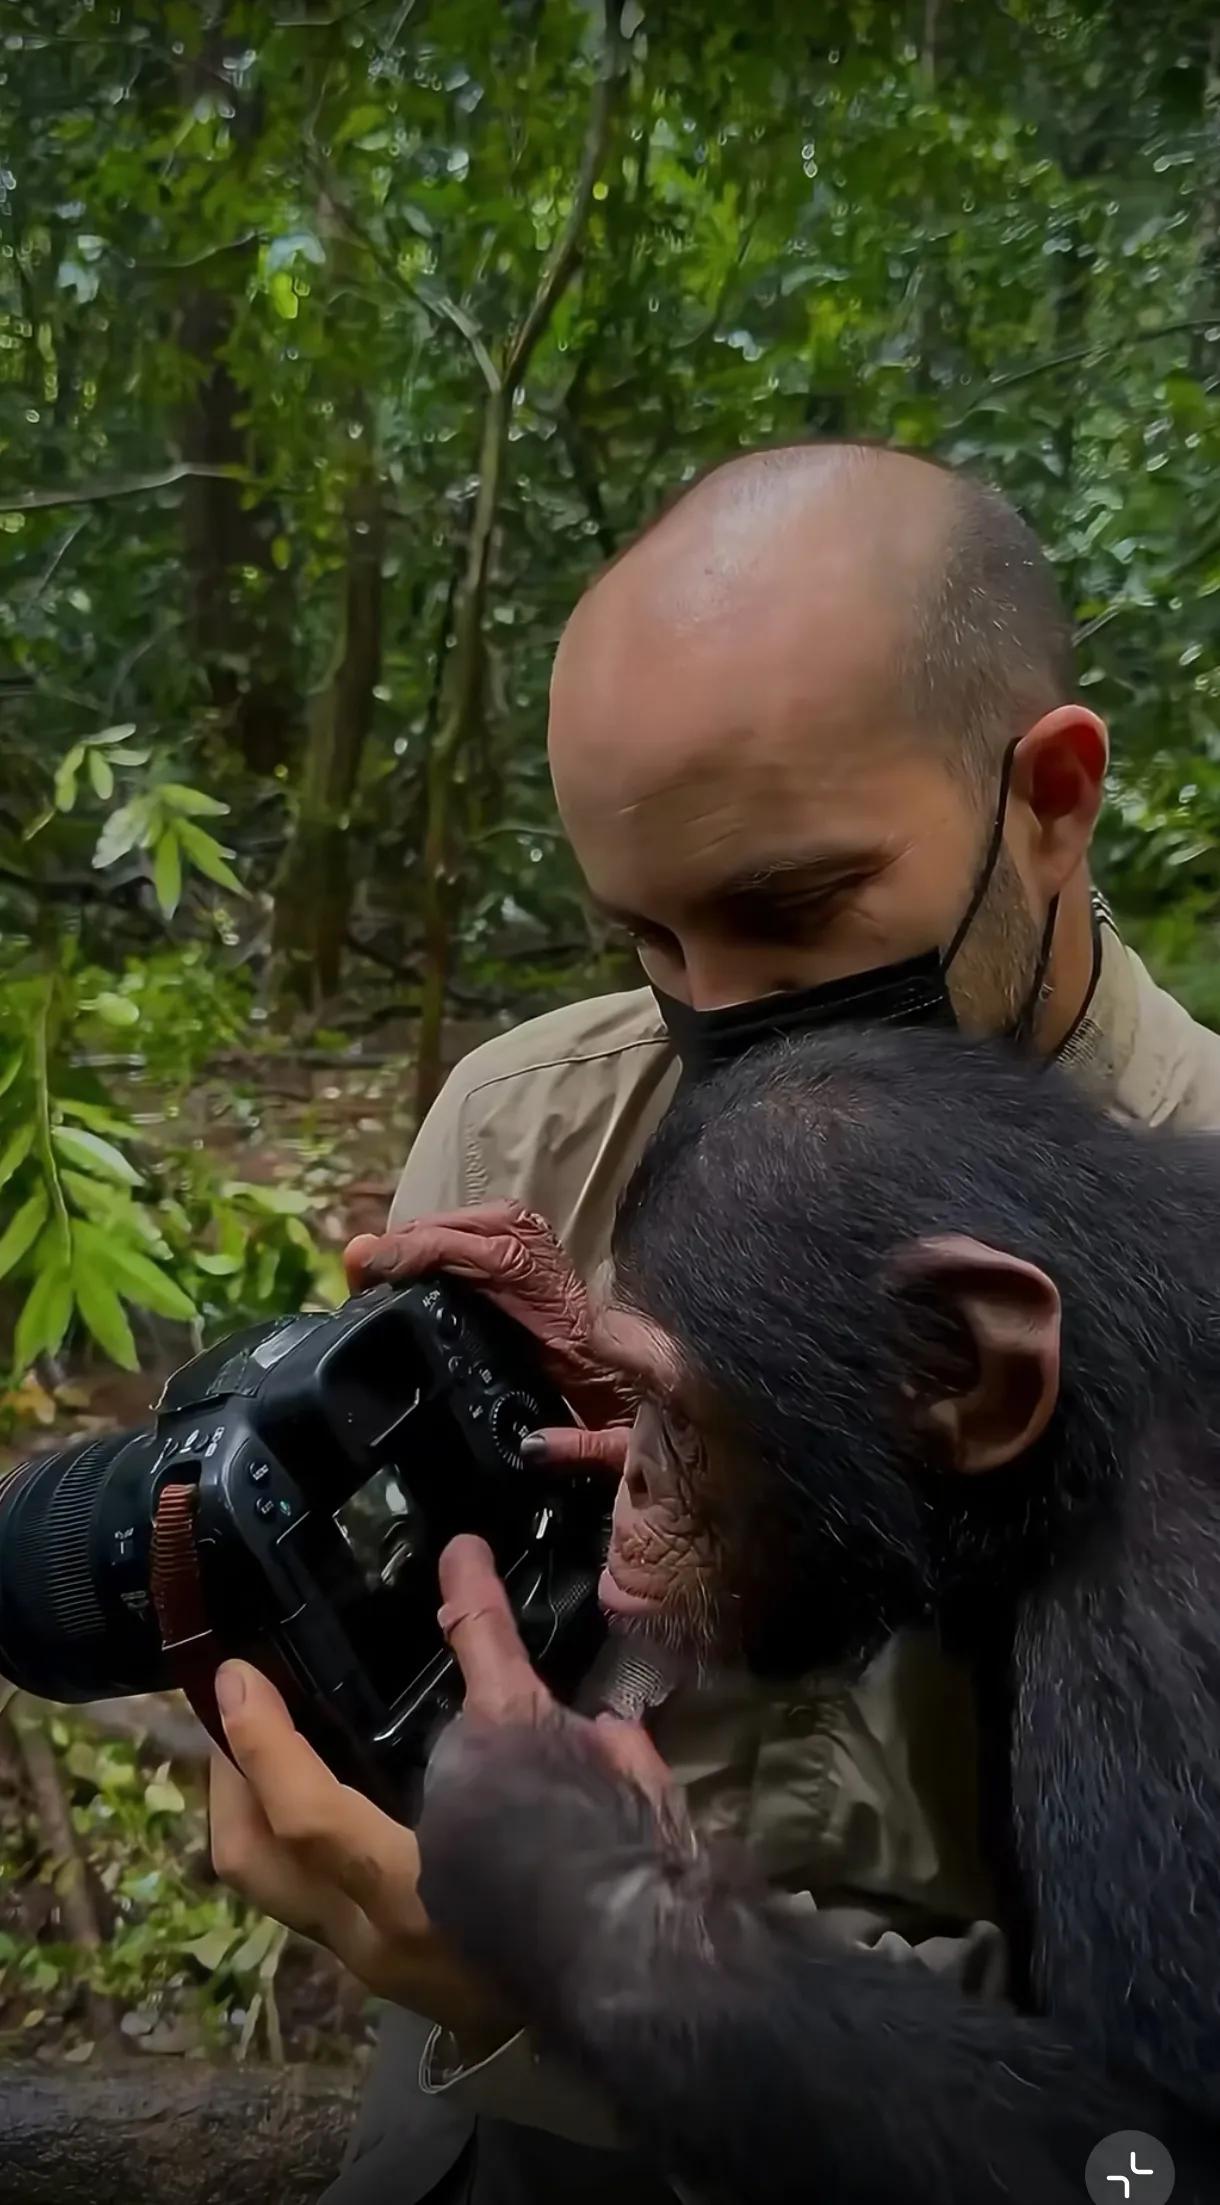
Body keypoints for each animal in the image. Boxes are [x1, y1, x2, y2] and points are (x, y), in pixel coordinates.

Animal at [414, 1027, 1217, 2205]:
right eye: (625, 1381)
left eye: (677, 1409)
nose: (634, 1480)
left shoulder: (1163, 1618)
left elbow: (1151, 2131)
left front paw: (540, 1838)